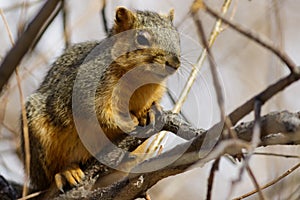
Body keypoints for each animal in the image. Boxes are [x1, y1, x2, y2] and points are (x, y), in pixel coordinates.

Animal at [21, 6, 180, 192]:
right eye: (141, 39)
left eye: (177, 37)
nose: (175, 63)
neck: (140, 80)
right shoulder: (85, 88)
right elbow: (98, 112)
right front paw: (127, 121)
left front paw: (152, 111)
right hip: (37, 136)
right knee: (50, 175)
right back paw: (66, 172)